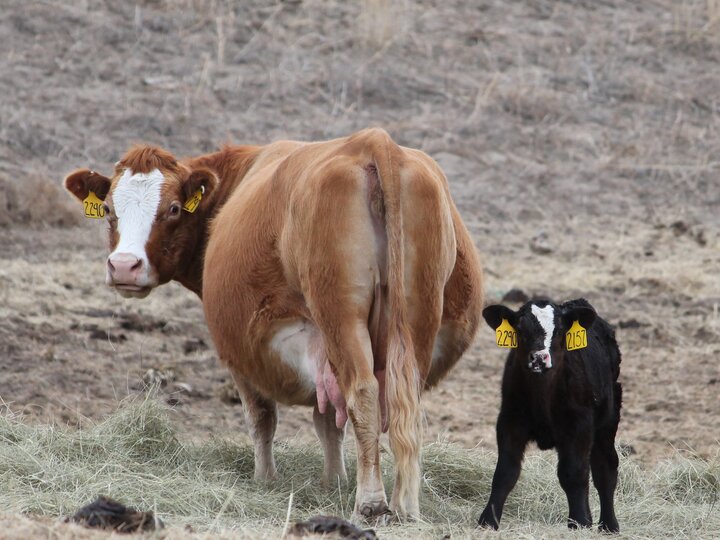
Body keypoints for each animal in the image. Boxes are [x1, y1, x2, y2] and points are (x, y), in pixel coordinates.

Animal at [63, 128, 484, 520]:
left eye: (173, 209)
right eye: (109, 210)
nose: (124, 266)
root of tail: (373, 142)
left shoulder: (242, 355)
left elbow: (263, 418)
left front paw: (264, 480)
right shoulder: (319, 352)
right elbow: (327, 420)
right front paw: (333, 481)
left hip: (341, 318)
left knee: (363, 393)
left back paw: (370, 502)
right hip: (415, 319)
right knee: (402, 402)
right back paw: (405, 505)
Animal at [477, 298, 621, 532]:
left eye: (560, 330)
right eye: (520, 329)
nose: (539, 358)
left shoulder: (579, 425)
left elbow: (573, 473)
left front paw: (578, 521)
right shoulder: (509, 421)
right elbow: (505, 472)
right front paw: (488, 520)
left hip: (607, 422)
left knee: (605, 469)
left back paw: (608, 525)